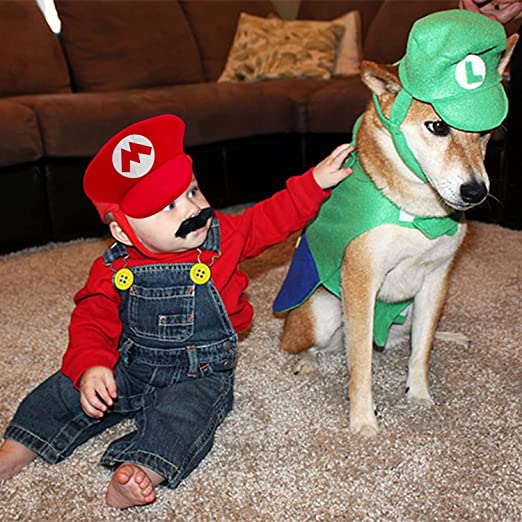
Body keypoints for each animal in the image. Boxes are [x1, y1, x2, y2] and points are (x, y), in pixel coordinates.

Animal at [272, 11, 516, 434]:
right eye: (438, 126)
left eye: (485, 133)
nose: (476, 192)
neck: (419, 214)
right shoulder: (361, 281)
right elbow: (360, 366)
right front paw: (363, 420)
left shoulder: (436, 278)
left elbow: (421, 351)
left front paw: (419, 396)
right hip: (322, 313)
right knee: (312, 347)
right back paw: (307, 362)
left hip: (411, 310)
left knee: (410, 338)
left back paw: (449, 336)